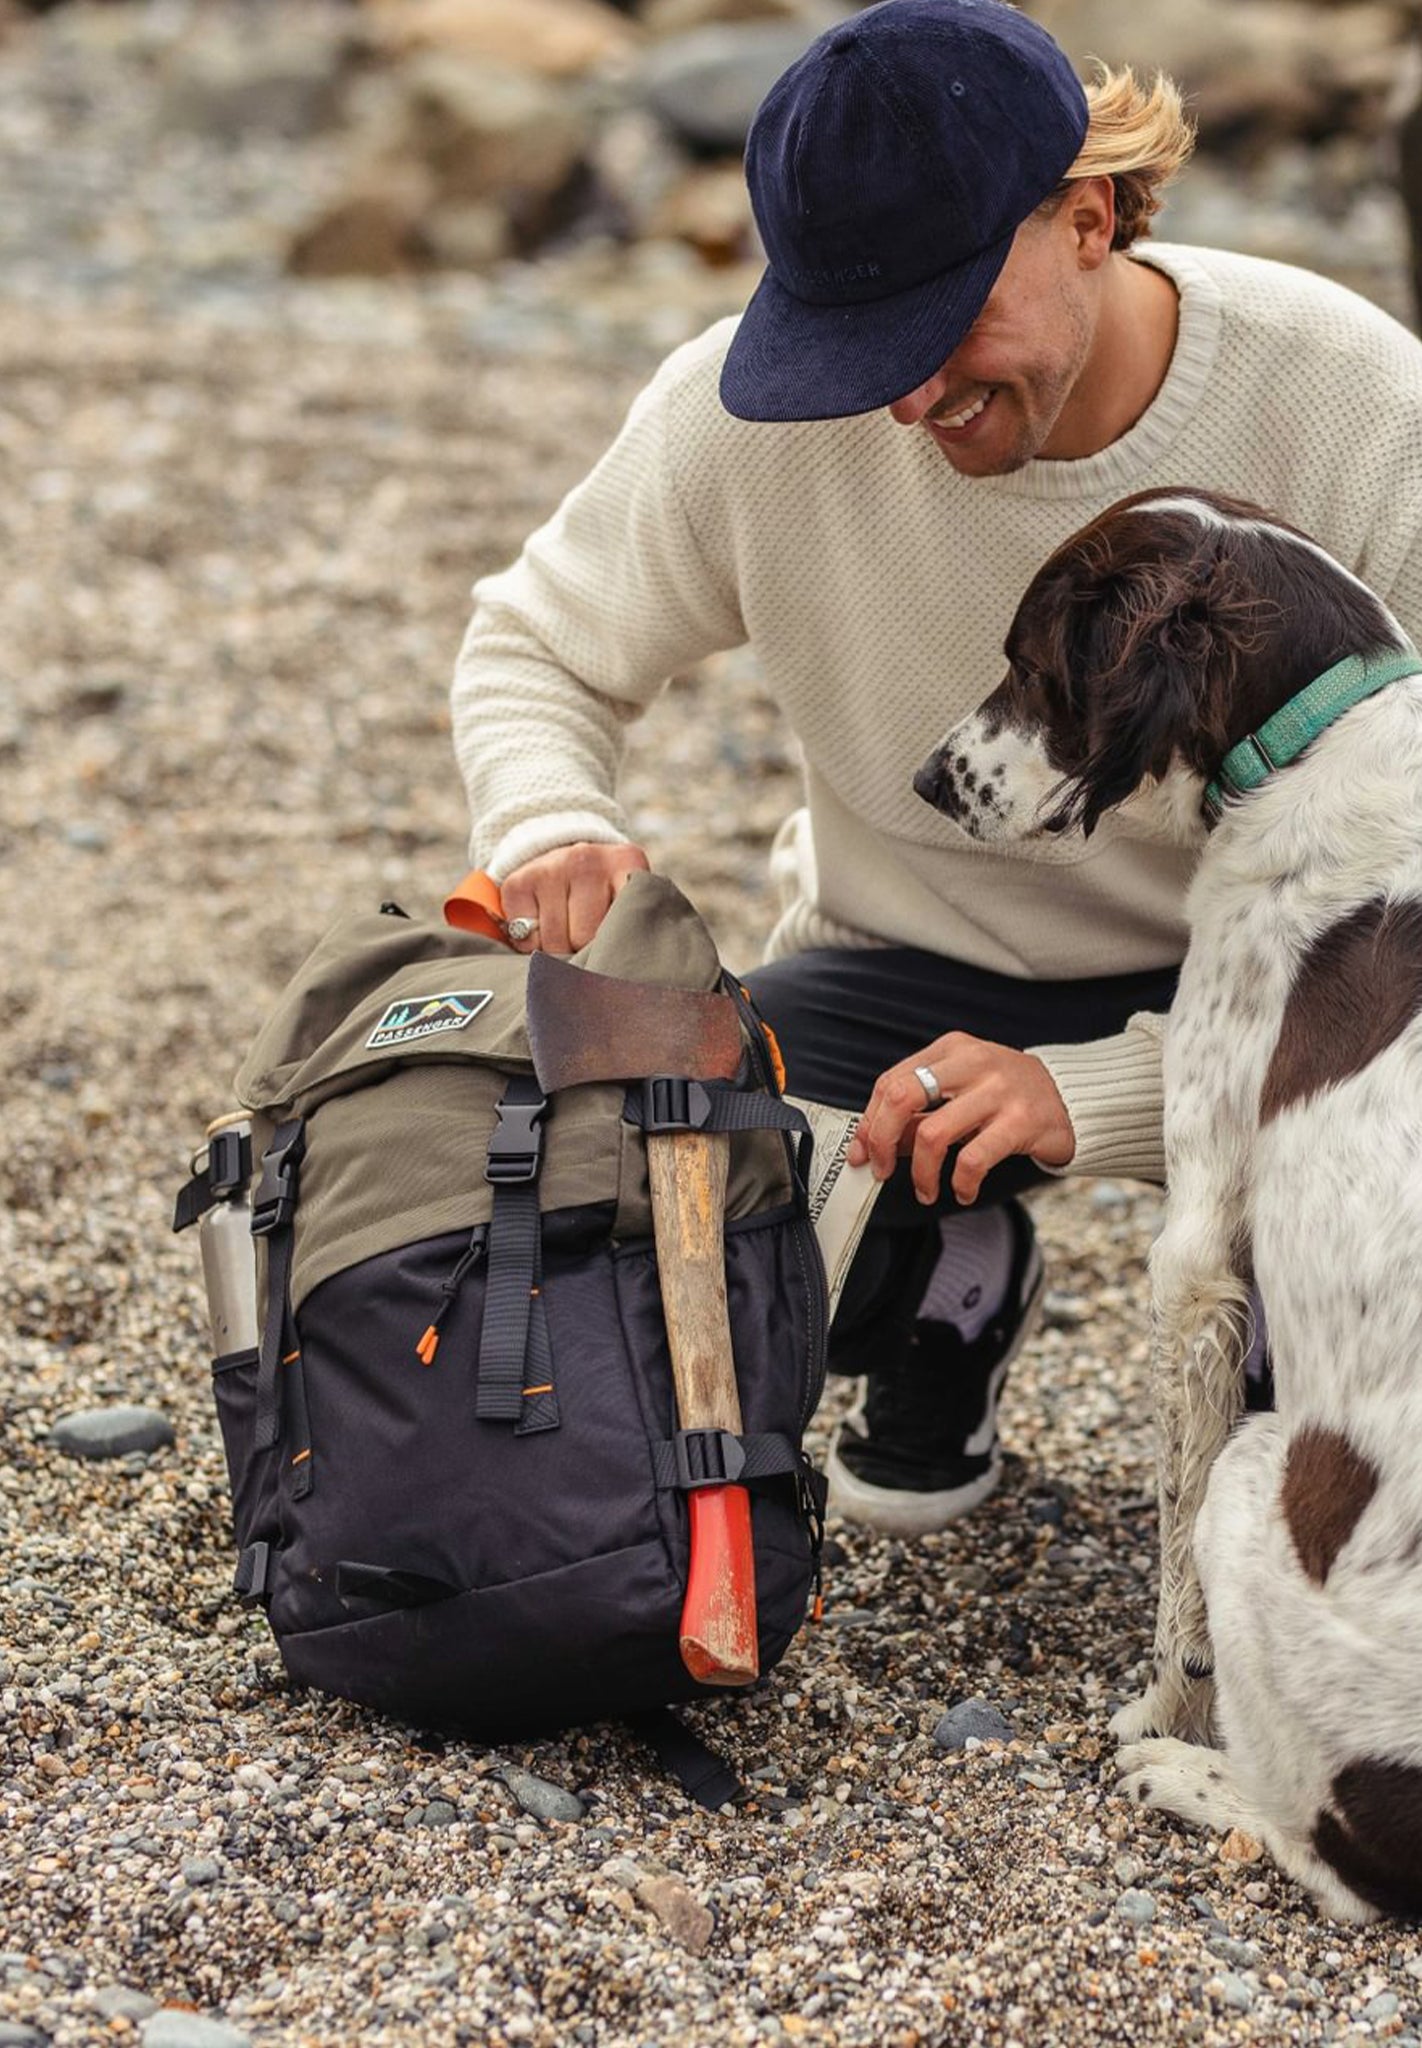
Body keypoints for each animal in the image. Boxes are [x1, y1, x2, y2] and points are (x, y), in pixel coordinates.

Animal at [917, 487, 1422, 1925]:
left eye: (1032, 662)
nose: (928, 777)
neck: (1317, 730)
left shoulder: (1197, 1254)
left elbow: (1173, 1566)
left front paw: (1161, 1715)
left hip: (1267, 1474)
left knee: (1338, 1868)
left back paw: (1197, 1784)